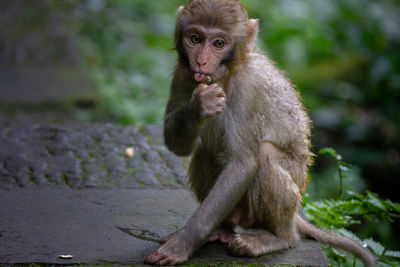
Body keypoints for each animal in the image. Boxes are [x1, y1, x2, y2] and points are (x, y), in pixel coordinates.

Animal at [145, 1, 376, 266]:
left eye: (218, 44)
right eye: (195, 38)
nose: (201, 61)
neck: (225, 77)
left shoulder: (249, 88)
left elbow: (243, 162)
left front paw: (182, 244)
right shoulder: (182, 73)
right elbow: (176, 145)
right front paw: (198, 105)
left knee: (263, 155)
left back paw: (280, 238)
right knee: (205, 151)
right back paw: (221, 230)